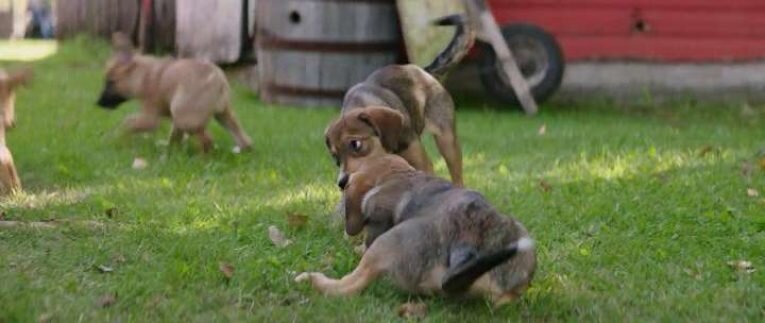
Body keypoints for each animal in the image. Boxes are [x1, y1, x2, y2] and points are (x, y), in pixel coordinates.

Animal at [97, 32, 252, 154]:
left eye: (110, 82)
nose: (98, 103)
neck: (142, 74)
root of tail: (218, 80)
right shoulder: (173, 121)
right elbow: (174, 137)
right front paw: (170, 152)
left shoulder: (149, 119)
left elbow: (126, 123)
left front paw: (113, 140)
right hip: (222, 115)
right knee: (244, 139)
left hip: (185, 118)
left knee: (208, 140)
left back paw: (202, 159)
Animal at [296, 154, 536, 306]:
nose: (341, 180)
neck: (398, 174)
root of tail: (469, 244)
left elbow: (364, 245)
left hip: (390, 240)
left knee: (349, 285)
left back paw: (310, 279)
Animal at [322, 15, 472, 187]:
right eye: (335, 157)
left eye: (356, 144)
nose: (342, 183)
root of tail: (424, 71)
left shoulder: (421, 161)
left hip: (447, 138)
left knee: (457, 174)